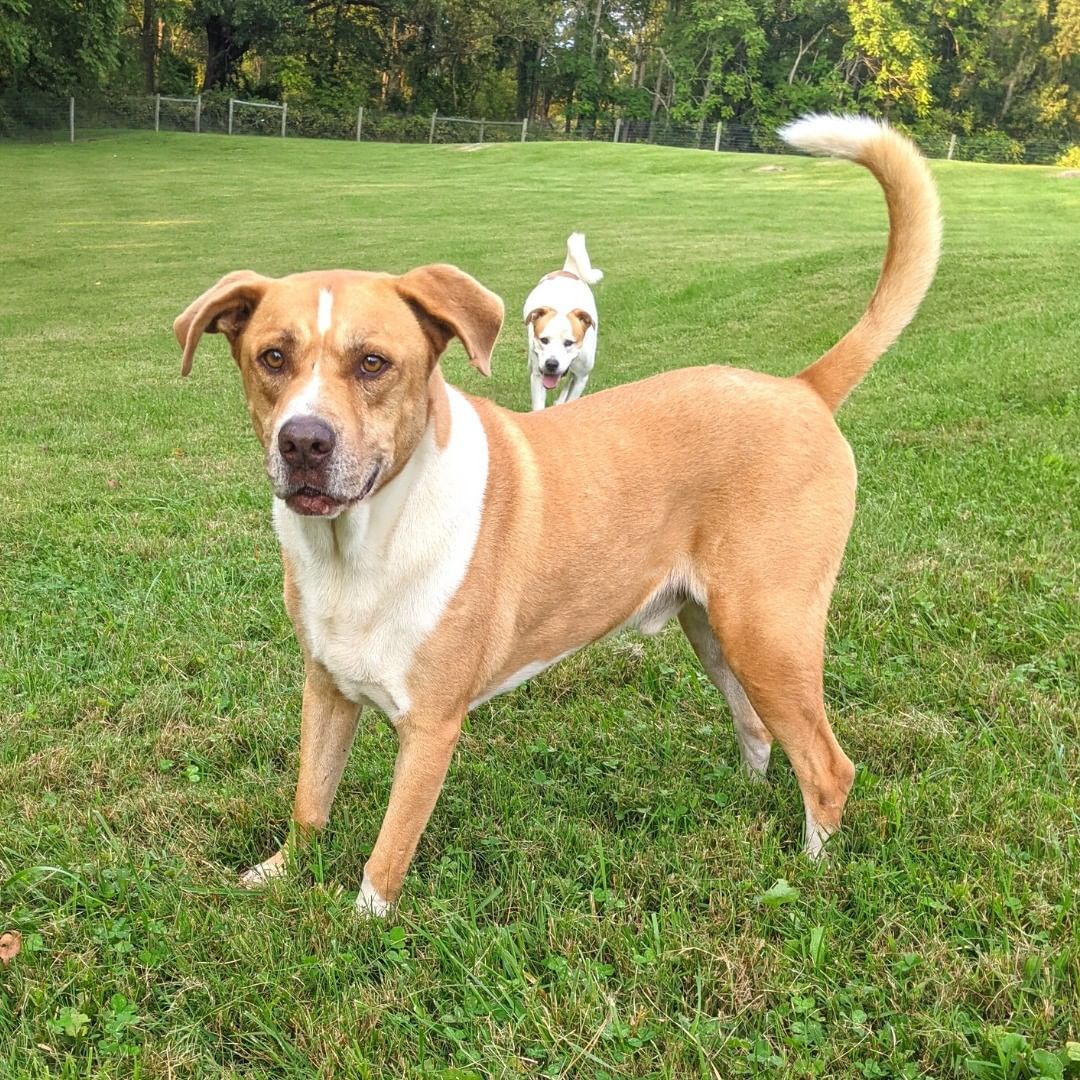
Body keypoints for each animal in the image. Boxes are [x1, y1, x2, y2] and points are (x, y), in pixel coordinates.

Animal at [520, 232, 600, 408]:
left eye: (569, 343)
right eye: (544, 340)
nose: (551, 364)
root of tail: (567, 271)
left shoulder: (581, 377)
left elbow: (572, 394)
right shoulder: (538, 375)